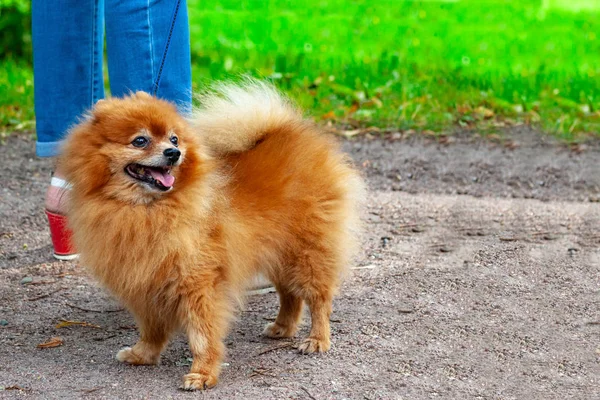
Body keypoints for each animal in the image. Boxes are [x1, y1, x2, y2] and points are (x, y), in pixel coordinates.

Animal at [58, 79, 364, 390]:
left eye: (174, 139)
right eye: (140, 141)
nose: (173, 153)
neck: (146, 210)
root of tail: (290, 128)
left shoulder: (199, 283)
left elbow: (202, 334)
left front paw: (202, 374)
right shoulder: (145, 284)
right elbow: (152, 328)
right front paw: (143, 354)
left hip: (307, 251)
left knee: (319, 298)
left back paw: (317, 338)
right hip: (278, 253)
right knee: (290, 294)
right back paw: (282, 327)